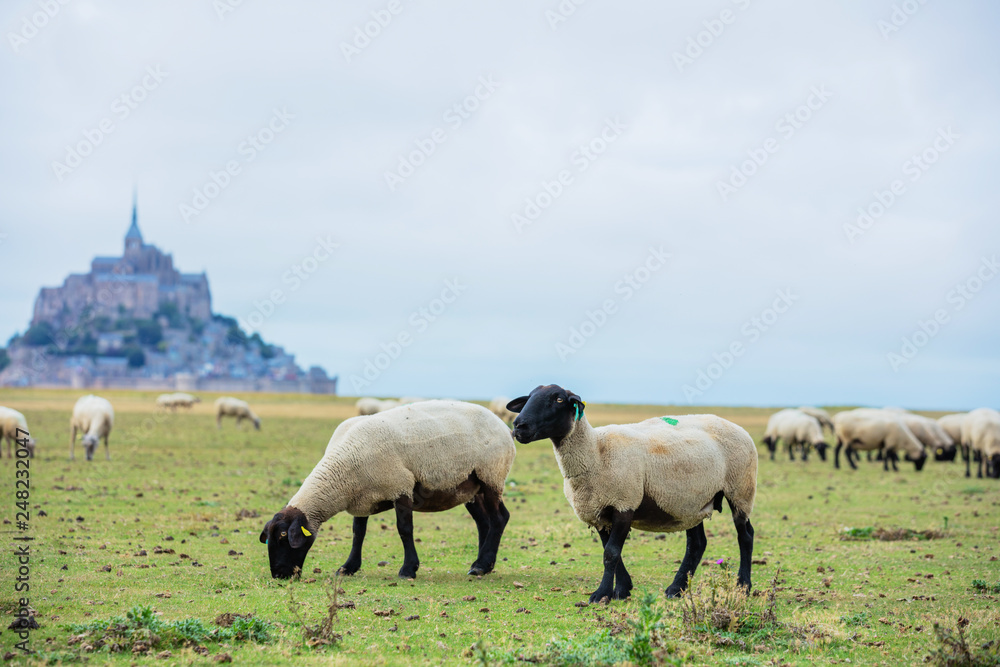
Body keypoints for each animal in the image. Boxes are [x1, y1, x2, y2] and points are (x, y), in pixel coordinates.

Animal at [260, 400, 516, 580]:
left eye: (283, 537)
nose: (279, 575)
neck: (342, 469)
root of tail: (503, 425)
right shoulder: (361, 499)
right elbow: (358, 533)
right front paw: (348, 567)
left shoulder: (400, 487)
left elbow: (404, 529)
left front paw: (408, 569)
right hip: (471, 487)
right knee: (484, 522)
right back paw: (482, 564)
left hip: (491, 475)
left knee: (499, 518)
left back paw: (481, 565)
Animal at [507, 384, 757, 602]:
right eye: (528, 398)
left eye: (558, 399)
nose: (519, 426)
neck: (595, 452)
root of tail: (735, 425)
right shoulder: (600, 511)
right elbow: (611, 552)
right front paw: (621, 590)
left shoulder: (624, 503)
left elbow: (611, 553)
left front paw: (601, 594)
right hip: (690, 501)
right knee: (697, 543)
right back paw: (676, 589)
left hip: (741, 490)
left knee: (745, 535)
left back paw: (743, 586)